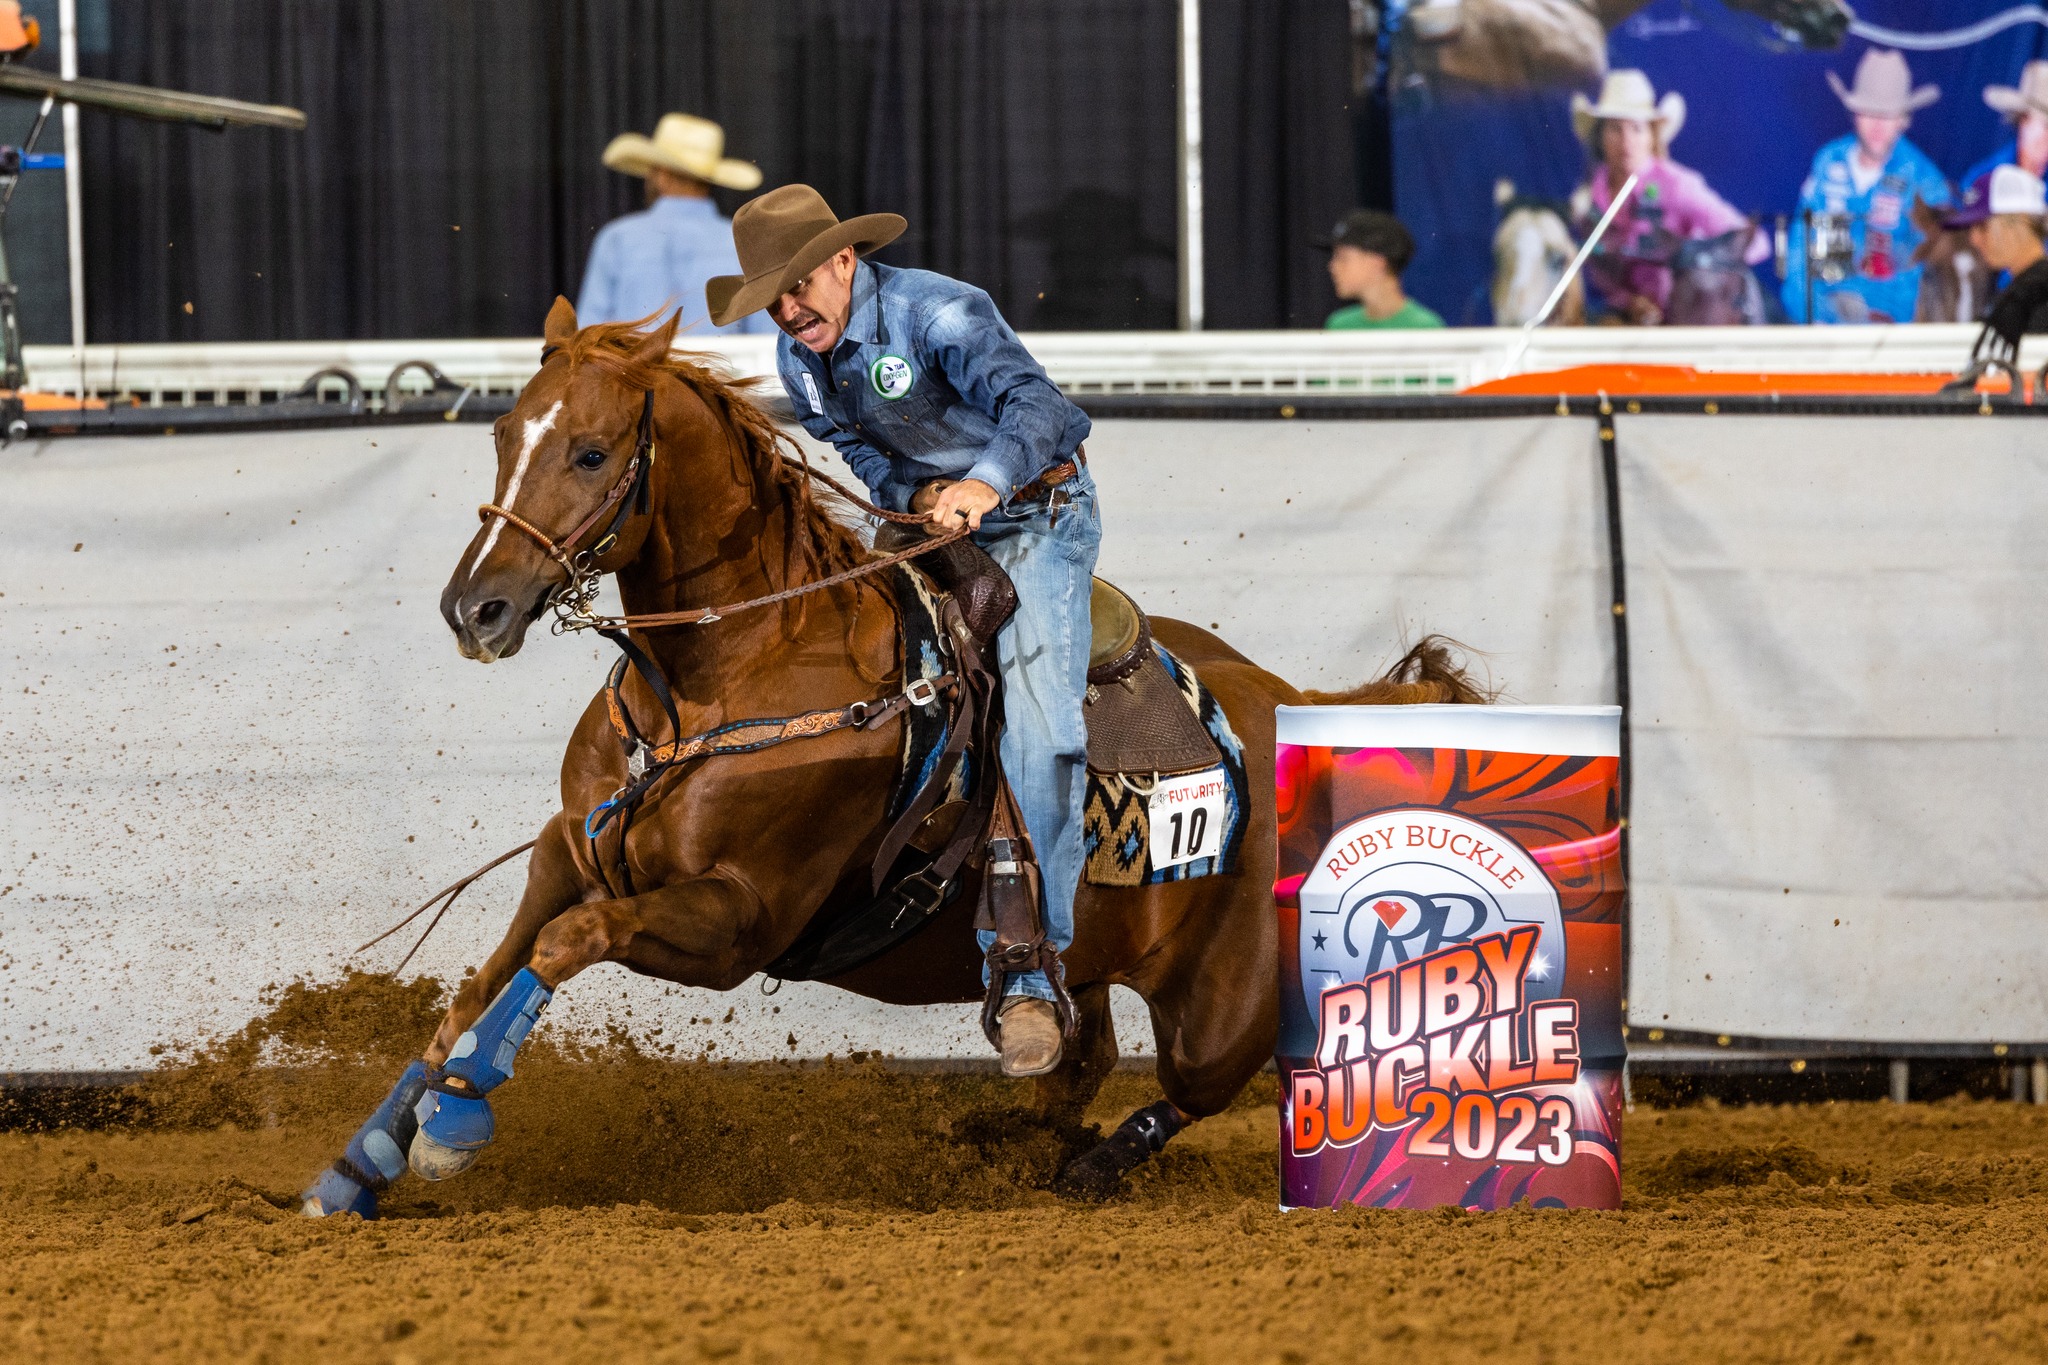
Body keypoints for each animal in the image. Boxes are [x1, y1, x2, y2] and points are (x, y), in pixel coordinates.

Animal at [296, 300, 1482, 1219]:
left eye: (590, 451)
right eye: (505, 434)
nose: (476, 608)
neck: (728, 672)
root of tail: (1299, 705)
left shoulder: (737, 920)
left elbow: (561, 948)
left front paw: (454, 1124)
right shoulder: (570, 852)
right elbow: (479, 980)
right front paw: (356, 1165)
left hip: (1227, 1001)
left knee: (1191, 1089)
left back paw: (1083, 1169)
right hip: (1084, 965)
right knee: (1075, 1060)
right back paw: (996, 1133)